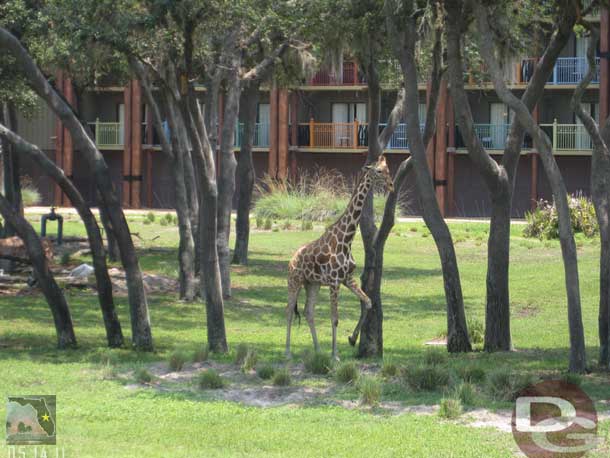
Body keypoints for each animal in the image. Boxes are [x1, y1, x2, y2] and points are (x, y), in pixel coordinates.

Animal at [284, 156, 394, 360]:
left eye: (388, 169)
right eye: (378, 171)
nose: (391, 185)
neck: (347, 239)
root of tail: (291, 260)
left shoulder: (347, 278)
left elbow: (367, 302)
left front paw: (352, 339)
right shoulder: (335, 282)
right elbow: (334, 318)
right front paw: (335, 355)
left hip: (312, 284)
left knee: (308, 311)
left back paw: (318, 350)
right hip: (294, 281)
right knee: (289, 310)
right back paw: (288, 352)